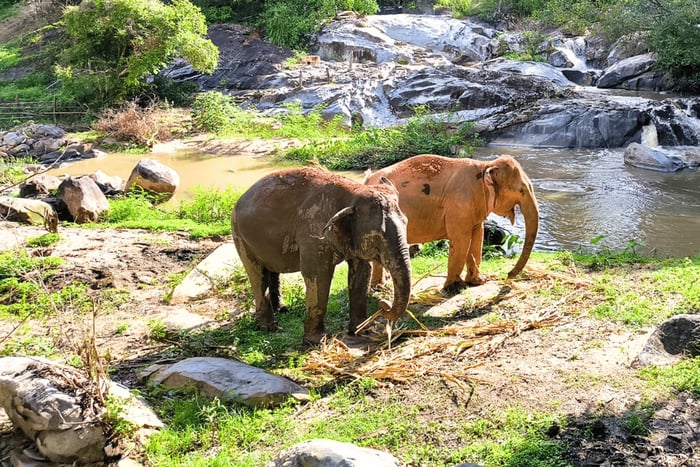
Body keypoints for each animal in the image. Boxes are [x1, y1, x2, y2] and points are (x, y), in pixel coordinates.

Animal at [231, 167, 412, 345]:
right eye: (378, 235)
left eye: (406, 222)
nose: (383, 305)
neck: (353, 193)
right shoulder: (313, 235)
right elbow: (318, 275)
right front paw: (317, 341)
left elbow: (362, 272)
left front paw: (362, 331)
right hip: (240, 236)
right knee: (257, 274)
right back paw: (269, 327)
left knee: (271, 269)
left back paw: (281, 309)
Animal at [364, 154, 539, 290]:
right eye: (521, 190)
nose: (508, 275)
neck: (485, 166)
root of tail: (367, 180)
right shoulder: (459, 205)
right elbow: (461, 240)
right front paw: (455, 287)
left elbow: (477, 237)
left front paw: (478, 282)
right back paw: (379, 287)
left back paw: (382, 284)